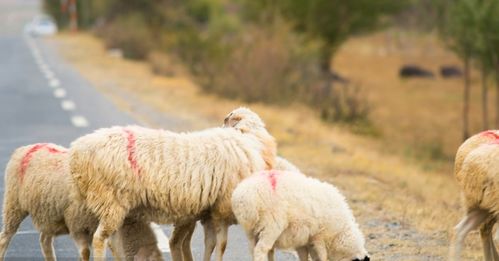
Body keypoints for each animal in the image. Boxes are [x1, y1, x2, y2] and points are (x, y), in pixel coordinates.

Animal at [0, 143, 164, 258]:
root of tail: (25, 148)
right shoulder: (77, 225)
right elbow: (85, 252)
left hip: (50, 212)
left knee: (44, 239)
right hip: (13, 205)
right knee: (5, 237)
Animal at [69, 106, 278, 258]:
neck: (248, 138)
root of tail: (77, 151)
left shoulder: (209, 211)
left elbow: (210, 244)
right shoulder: (221, 210)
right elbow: (221, 245)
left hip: (113, 206)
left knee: (110, 241)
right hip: (111, 201)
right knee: (99, 239)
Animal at [232, 170, 370, 260]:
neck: (341, 233)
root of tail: (244, 195)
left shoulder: (304, 239)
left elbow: (305, 256)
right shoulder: (319, 237)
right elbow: (322, 256)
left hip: (252, 230)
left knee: (258, 249)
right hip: (271, 224)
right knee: (261, 249)